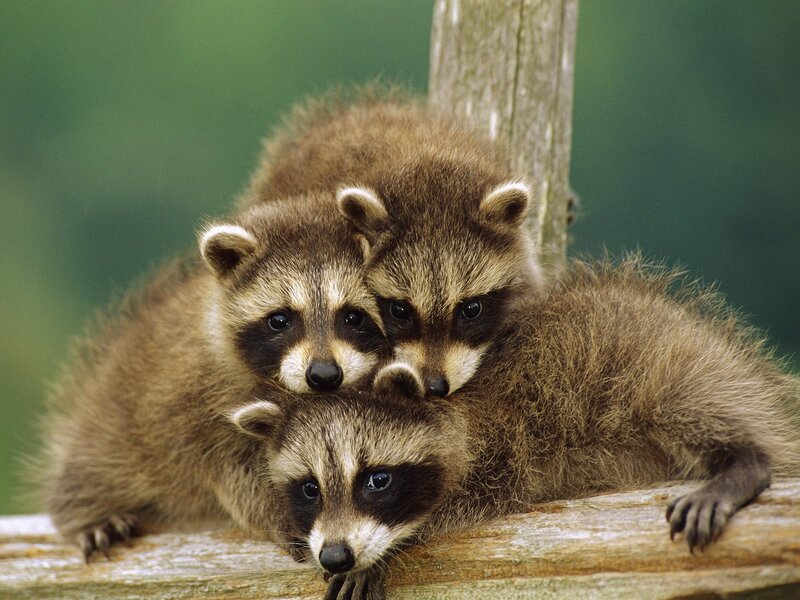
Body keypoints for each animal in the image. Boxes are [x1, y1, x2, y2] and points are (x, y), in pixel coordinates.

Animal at [37, 194, 388, 559]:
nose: (323, 374)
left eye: (353, 316)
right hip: (113, 426)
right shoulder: (196, 404)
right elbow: (234, 472)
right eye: (280, 319)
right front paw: (286, 510)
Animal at [229, 255, 799, 600]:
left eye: (377, 480)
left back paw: (745, 461)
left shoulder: (507, 443)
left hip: (668, 361)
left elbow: (460, 503)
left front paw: (386, 549)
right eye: (309, 488)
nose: (335, 554)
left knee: (693, 404)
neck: (451, 407)